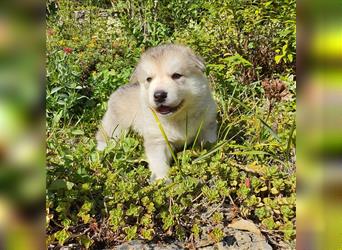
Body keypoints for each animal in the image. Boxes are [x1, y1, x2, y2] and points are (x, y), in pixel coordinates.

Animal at [95, 44, 216, 182]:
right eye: (149, 79)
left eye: (176, 75)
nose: (159, 95)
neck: (177, 118)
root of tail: (119, 90)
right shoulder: (157, 140)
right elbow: (159, 163)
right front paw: (163, 181)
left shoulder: (208, 126)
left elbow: (209, 142)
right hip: (116, 127)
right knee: (104, 136)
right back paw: (101, 152)